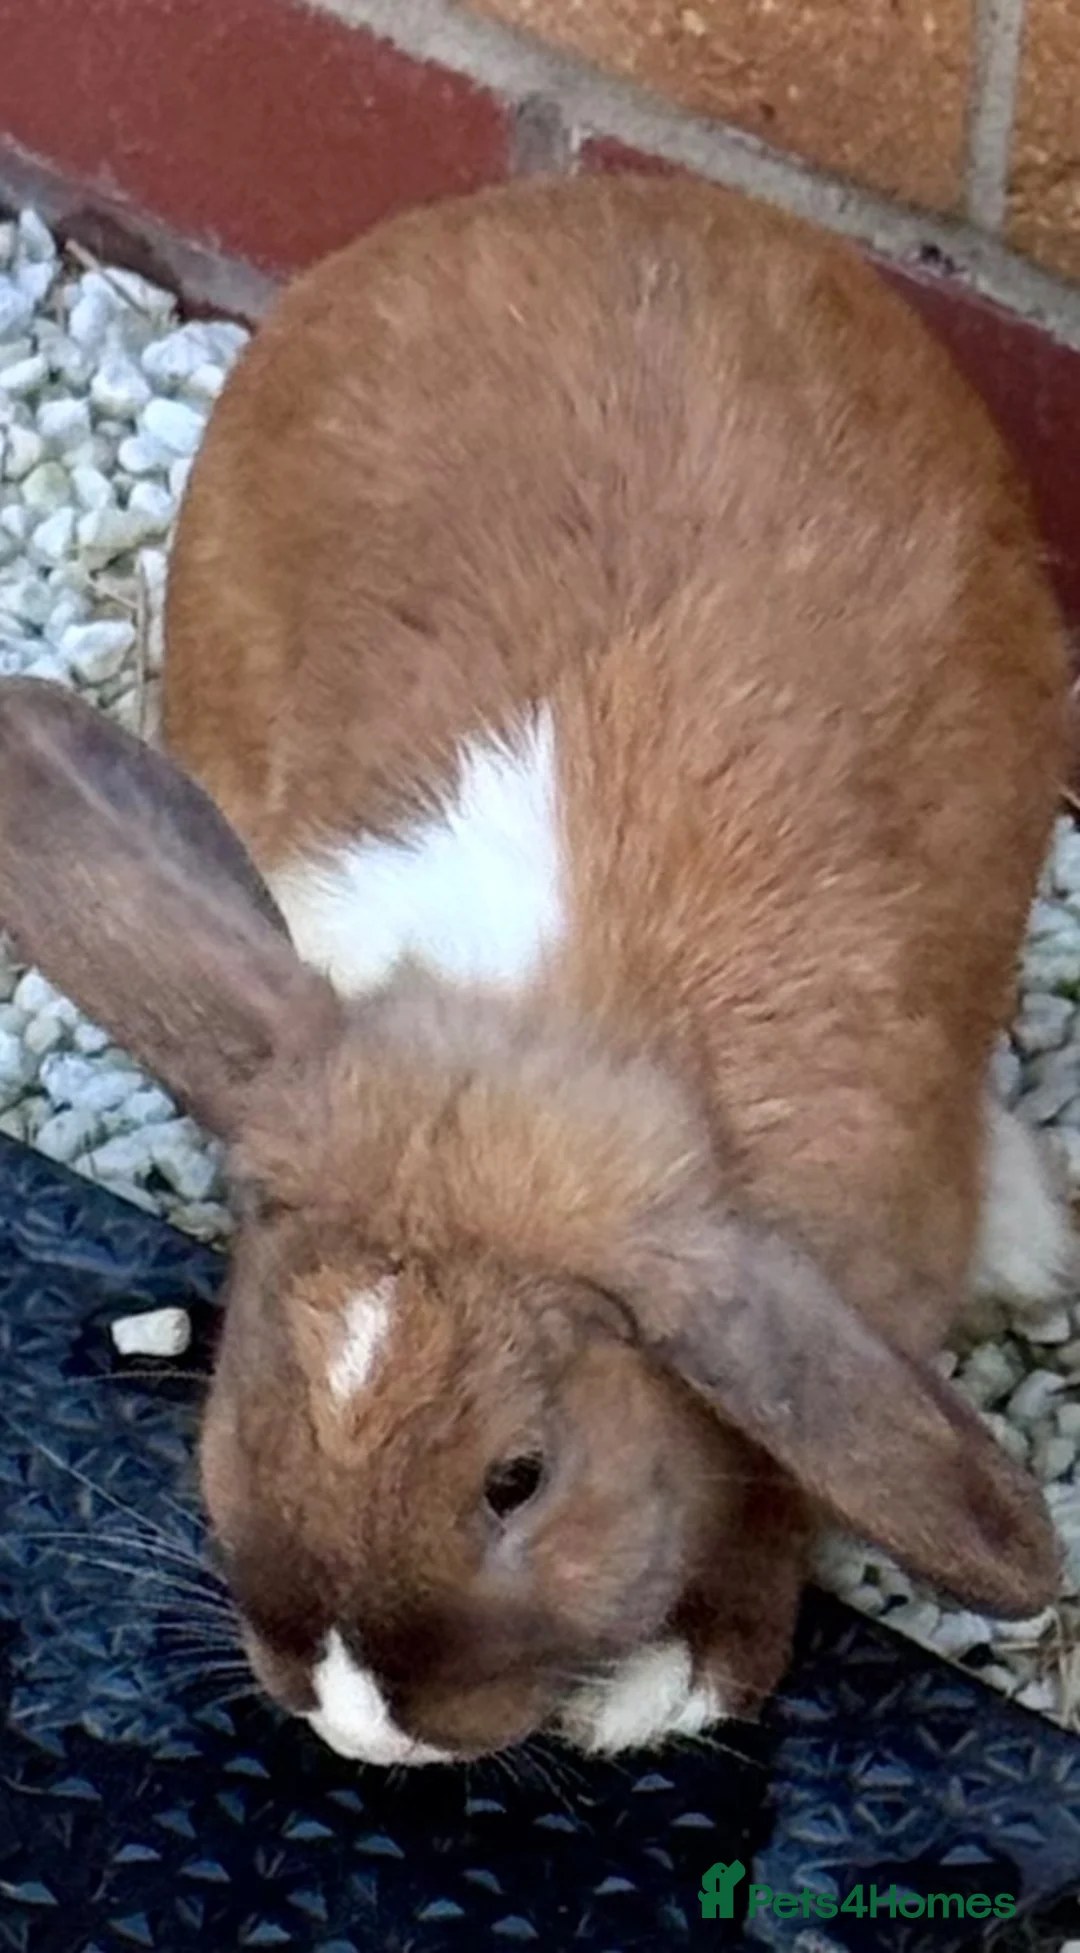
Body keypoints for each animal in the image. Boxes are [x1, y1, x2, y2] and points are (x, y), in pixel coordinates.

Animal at [0, 174, 1071, 1769]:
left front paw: (662, 1690)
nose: (358, 1725)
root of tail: (608, 189)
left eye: (521, 1477)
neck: (560, 1010)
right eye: (260, 1382)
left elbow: (795, 1476)